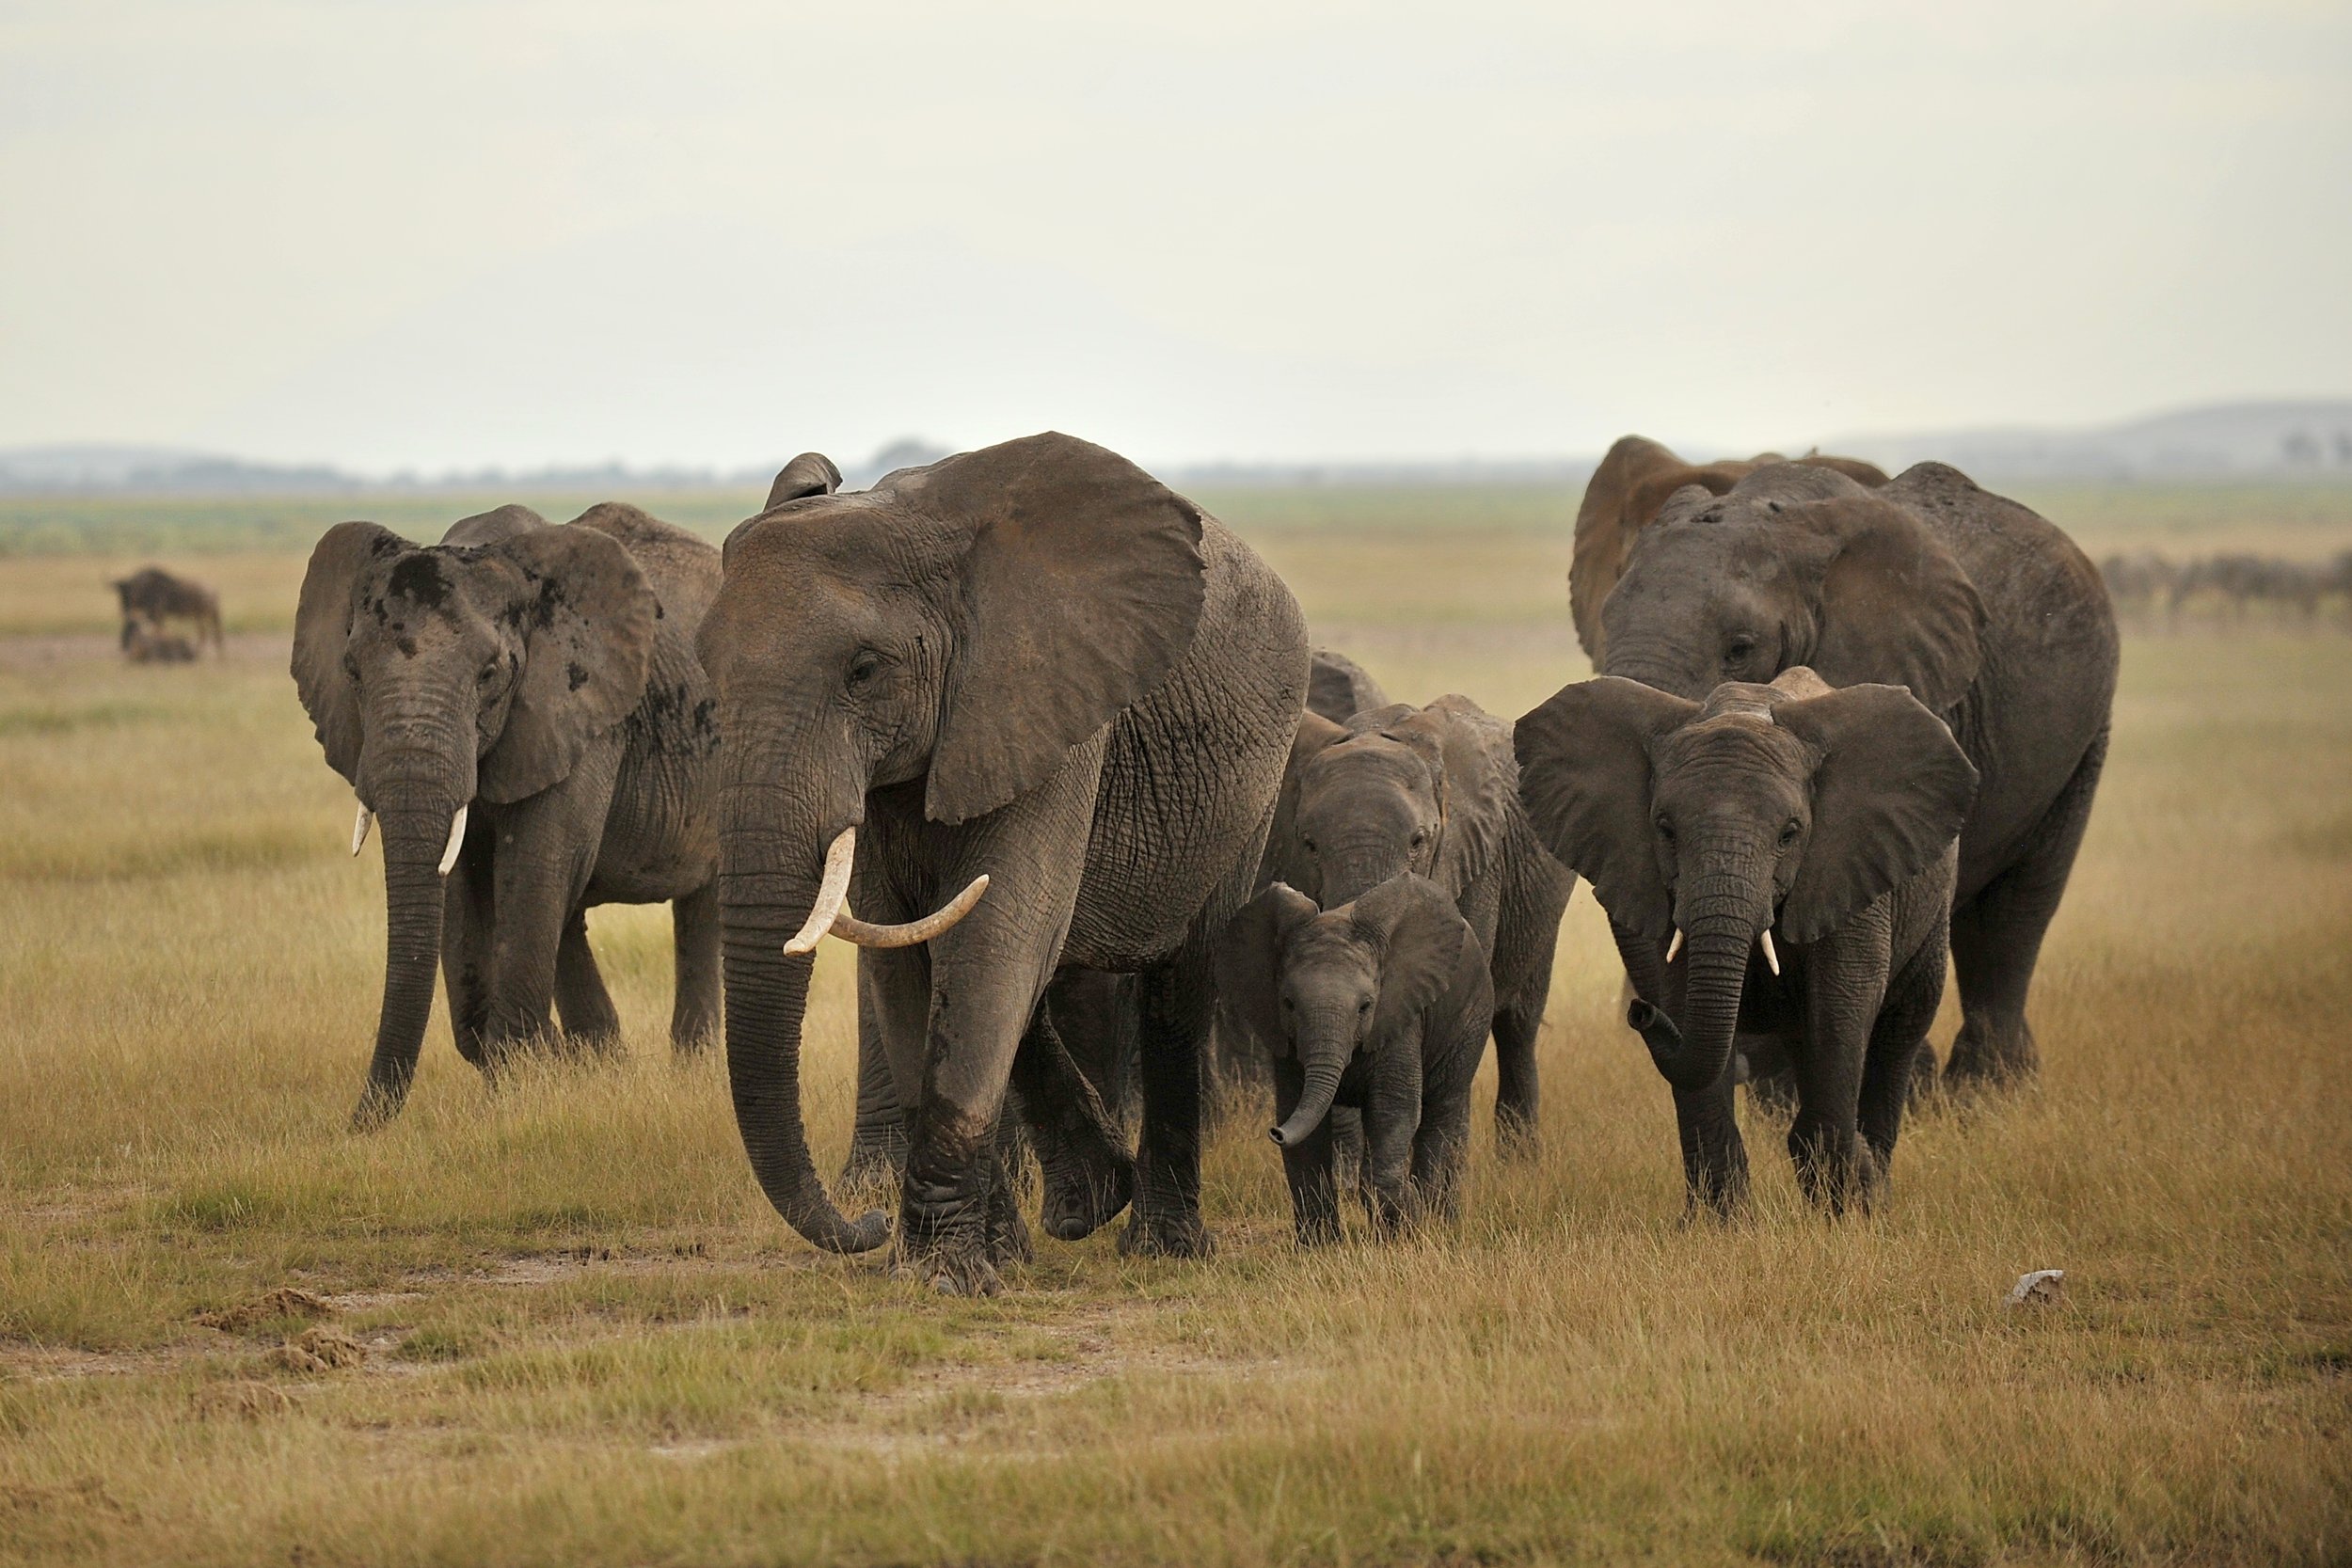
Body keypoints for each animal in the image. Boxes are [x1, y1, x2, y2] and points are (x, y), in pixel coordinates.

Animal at [292, 501, 723, 1127]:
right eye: (351, 671)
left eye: (489, 674)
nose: (355, 1126)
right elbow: (460, 878)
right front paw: (529, 1072)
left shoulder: (581, 713)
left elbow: (538, 865)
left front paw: (527, 1077)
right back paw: (604, 1066)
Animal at [696, 431, 1308, 1294]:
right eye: (707, 674)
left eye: (864, 670)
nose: (864, 1222)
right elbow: (910, 957)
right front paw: (962, 1263)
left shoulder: (1051, 696)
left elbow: (994, 937)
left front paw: (939, 1278)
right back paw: (1081, 1207)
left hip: (1248, 793)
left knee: (1176, 987)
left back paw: (1161, 1244)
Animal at [1217, 875, 1492, 1241]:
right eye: (1288, 1004)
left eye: (1365, 1006)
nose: (1275, 1133)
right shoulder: (1287, 1043)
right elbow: (1301, 1120)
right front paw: (1319, 1245)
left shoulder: (1399, 1017)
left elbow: (1392, 1109)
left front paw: (1405, 1229)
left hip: (1471, 1014)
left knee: (1441, 1109)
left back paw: (1437, 1220)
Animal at [1516, 669, 1979, 1214]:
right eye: (1665, 830)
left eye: (1790, 834)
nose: (1638, 1012)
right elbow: (1688, 1009)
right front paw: (1719, 1222)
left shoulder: (1850, 865)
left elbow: (1842, 1008)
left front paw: (1846, 1211)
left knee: (1900, 1026)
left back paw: (1872, 1184)